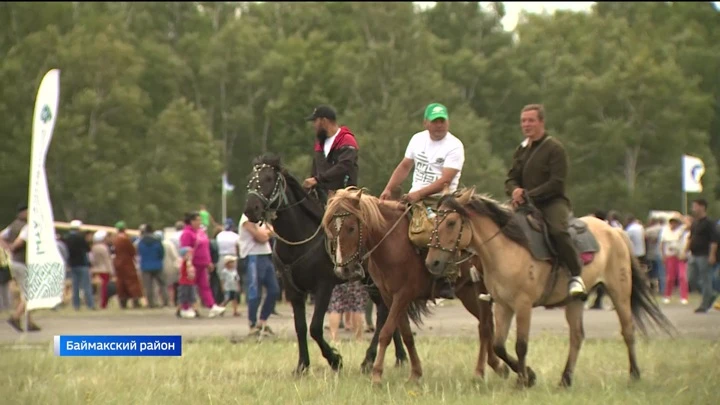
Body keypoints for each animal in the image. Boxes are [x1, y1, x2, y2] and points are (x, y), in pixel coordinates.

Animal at [243, 154, 408, 372]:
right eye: (251, 178)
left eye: (269, 178)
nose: (250, 209)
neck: (299, 238)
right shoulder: (293, 290)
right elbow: (300, 327)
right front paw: (302, 365)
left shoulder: (323, 286)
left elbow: (314, 327)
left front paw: (334, 360)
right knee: (387, 311)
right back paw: (399, 357)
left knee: (383, 313)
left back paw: (369, 359)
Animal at [320, 186, 506, 382]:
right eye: (330, 228)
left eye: (351, 228)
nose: (343, 270)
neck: (392, 243)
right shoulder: (389, 297)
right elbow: (406, 334)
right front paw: (415, 373)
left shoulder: (403, 295)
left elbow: (386, 332)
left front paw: (377, 374)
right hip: (468, 293)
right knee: (486, 324)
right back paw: (498, 365)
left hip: (481, 288)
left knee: (485, 326)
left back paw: (484, 370)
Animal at [424, 188, 676, 386]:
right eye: (434, 222)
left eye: (451, 222)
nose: (432, 263)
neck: (506, 249)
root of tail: (615, 231)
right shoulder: (503, 306)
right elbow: (498, 345)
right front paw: (528, 375)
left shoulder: (523, 305)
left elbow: (521, 345)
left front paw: (523, 380)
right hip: (575, 301)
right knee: (577, 336)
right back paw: (565, 379)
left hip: (619, 291)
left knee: (628, 331)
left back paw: (634, 374)